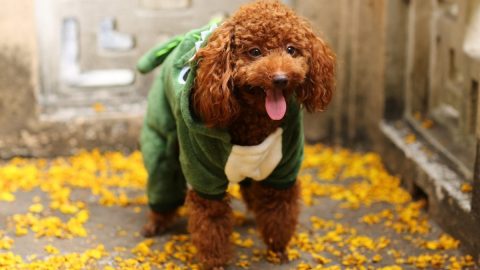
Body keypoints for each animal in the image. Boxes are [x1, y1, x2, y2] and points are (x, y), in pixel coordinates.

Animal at [137, 0, 336, 268]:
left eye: (291, 49)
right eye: (254, 51)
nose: (281, 79)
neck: (252, 120)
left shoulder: (284, 165)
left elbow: (279, 210)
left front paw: (277, 250)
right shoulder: (204, 176)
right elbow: (210, 223)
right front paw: (215, 261)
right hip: (161, 143)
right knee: (163, 176)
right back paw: (156, 222)